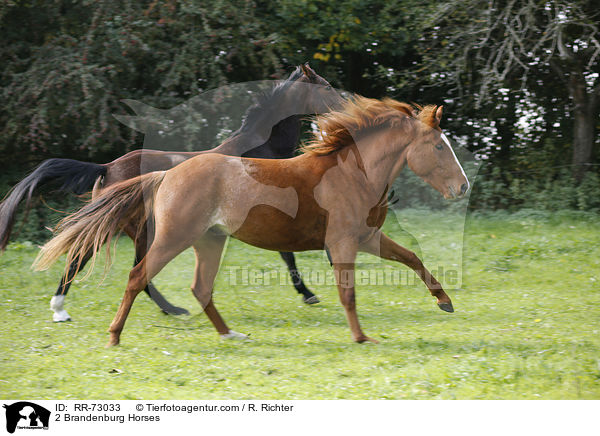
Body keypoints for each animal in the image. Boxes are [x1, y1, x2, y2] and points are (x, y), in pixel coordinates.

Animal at [0, 62, 340, 320]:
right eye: (325, 86)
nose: (344, 105)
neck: (259, 149)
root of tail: (106, 167)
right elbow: (289, 253)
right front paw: (310, 293)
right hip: (138, 228)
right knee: (98, 261)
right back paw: (65, 310)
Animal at [35, 97, 472, 346]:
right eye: (438, 146)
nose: (463, 186)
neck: (352, 172)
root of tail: (165, 175)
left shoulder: (367, 237)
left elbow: (413, 258)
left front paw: (445, 301)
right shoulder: (344, 242)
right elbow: (348, 293)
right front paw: (362, 338)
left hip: (210, 241)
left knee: (200, 287)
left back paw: (231, 335)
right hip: (172, 238)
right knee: (137, 276)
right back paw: (113, 335)